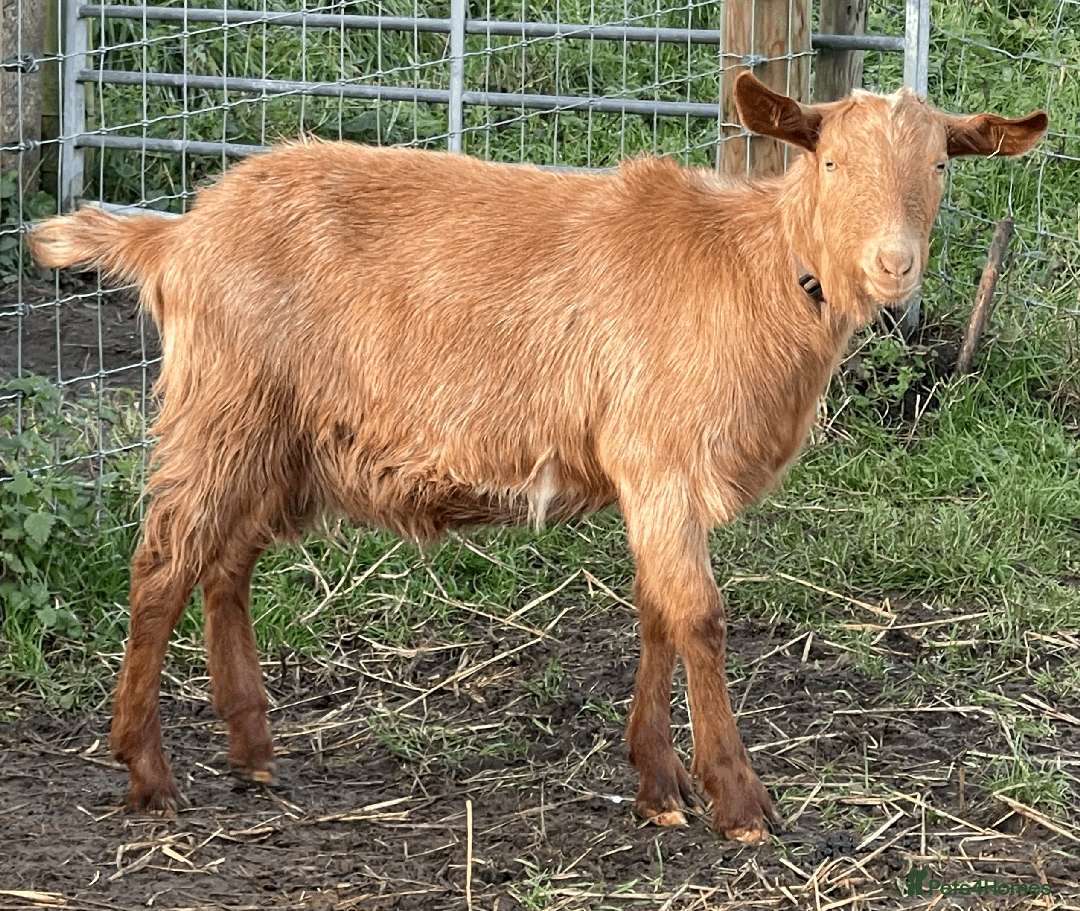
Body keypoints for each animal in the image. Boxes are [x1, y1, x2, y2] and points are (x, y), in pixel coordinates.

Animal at [29, 72, 1046, 842]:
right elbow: (701, 617)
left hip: (282, 436)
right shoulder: (663, 458)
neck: (752, 267)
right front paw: (739, 800)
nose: (894, 265)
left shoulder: (647, 476)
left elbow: (656, 613)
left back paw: (252, 752)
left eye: (939, 166)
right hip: (224, 407)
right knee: (163, 564)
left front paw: (658, 786)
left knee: (227, 561)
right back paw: (150, 772)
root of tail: (178, 232)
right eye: (831, 160)